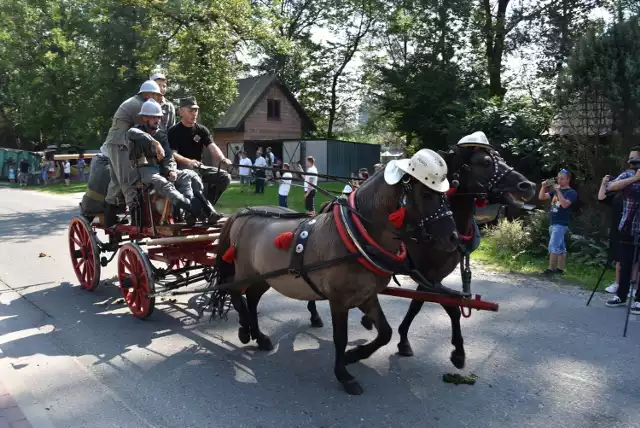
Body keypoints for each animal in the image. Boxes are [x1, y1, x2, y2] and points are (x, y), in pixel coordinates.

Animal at [215, 150, 460, 394]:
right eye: (426, 194)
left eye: (446, 193)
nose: (453, 239)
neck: (356, 236)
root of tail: (243, 212)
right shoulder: (339, 300)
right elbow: (341, 338)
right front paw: (344, 374)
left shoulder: (367, 296)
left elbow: (385, 332)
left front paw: (354, 355)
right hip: (245, 271)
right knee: (234, 290)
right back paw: (245, 328)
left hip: (265, 276)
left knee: (252, 297)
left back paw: (258, 335)